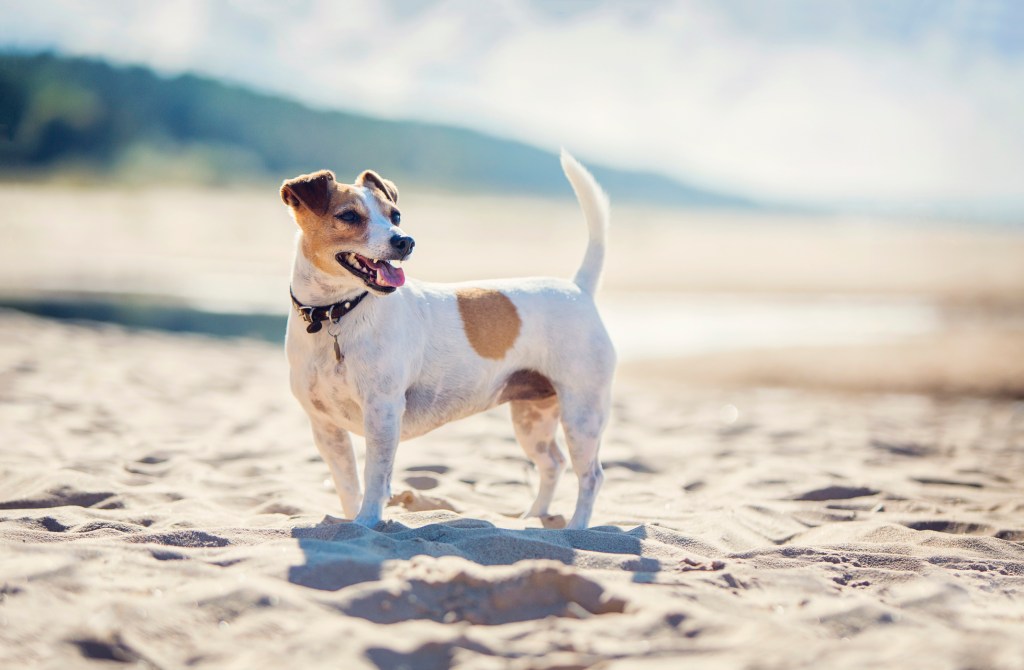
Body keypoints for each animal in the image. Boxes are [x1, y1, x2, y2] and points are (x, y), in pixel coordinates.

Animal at [280, 150, 614, 528]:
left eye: (395, 216)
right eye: (348, 216)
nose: (404, 241)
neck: (336, 312)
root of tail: (578, 288)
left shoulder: (382, 411)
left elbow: (374, 476)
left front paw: (367, 523)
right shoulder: (324, 426)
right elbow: (346, 482)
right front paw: (353, 525)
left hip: (582, 414)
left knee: (591, 475)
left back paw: (577, 528)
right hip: (533, 418)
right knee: (553, 463)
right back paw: (534, 517)